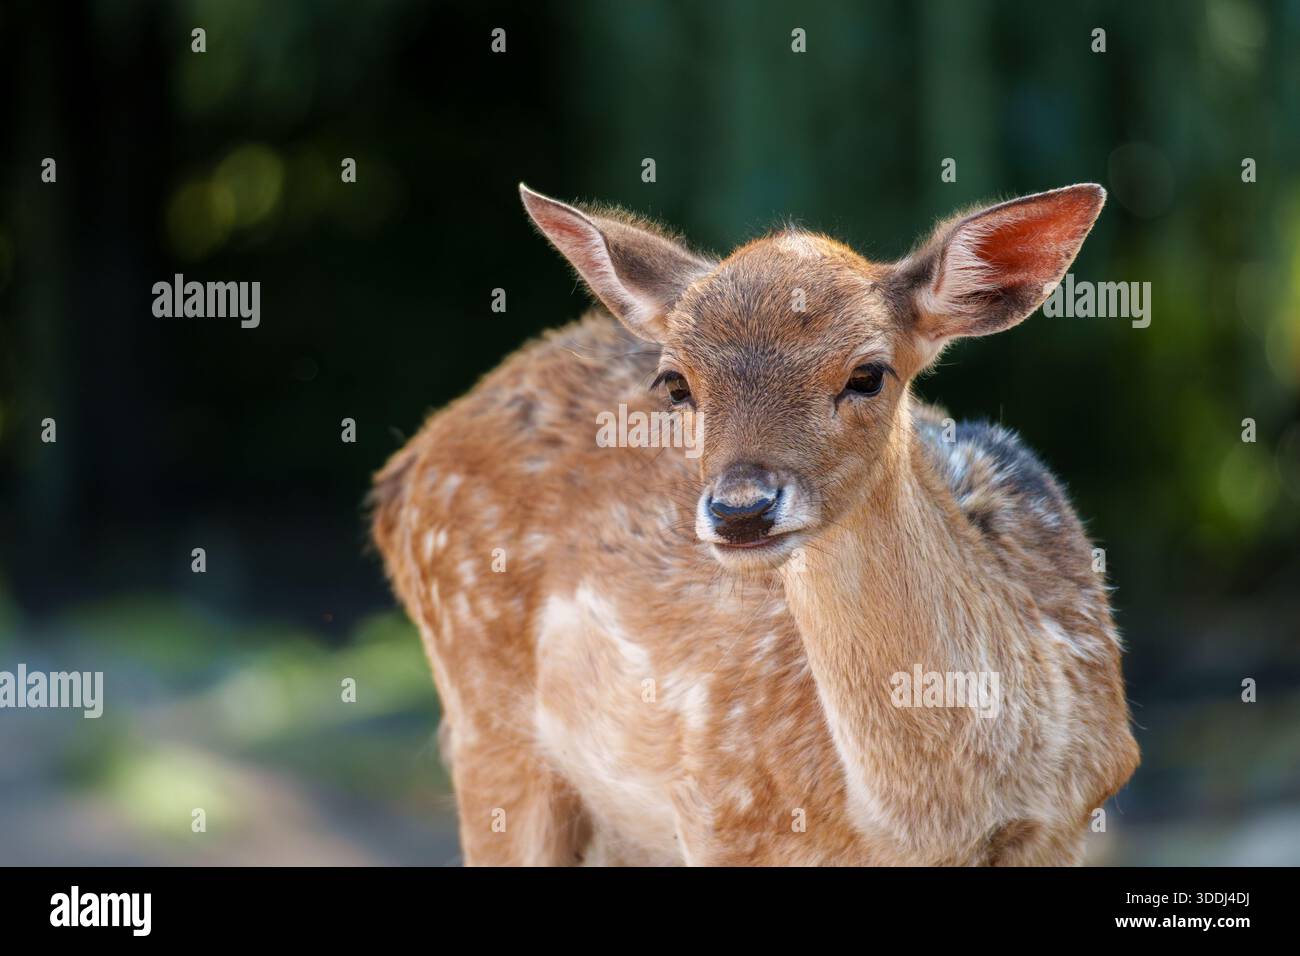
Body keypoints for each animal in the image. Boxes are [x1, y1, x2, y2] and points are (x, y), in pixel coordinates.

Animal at [371, 183, 1140, 866]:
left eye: (868, 373)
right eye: (676, 384)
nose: (741, 509)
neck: (926, 825)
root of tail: (401, 473)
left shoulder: (1072, 816)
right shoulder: (721, 816)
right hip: (487, 727)